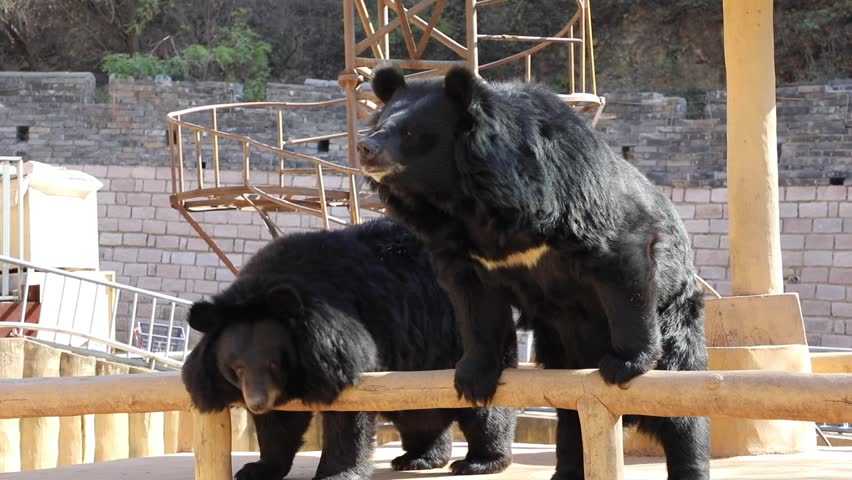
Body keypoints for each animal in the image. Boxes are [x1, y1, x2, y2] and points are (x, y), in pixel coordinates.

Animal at [181, 217, 518, 480]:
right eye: (235, 368)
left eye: (274, 362)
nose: (257, 402)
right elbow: (278, 425)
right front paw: (256, 468)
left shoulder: (342, 344)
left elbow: (347, 414)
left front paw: (335, 473)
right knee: (420, 413)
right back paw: (419, 457)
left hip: (460, 336)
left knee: (485, 408)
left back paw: (479, 461)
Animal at [357, 65, 710, 480]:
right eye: (380, 123)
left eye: (411, 132)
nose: (365, 148)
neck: (464, 200)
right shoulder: (464, 250)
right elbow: (474, 306)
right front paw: (473, 378)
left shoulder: (576, 199)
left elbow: (621, 259)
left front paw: (626, 363)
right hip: (559, 347)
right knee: (572, 415)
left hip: (677, 320)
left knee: (682, 410)